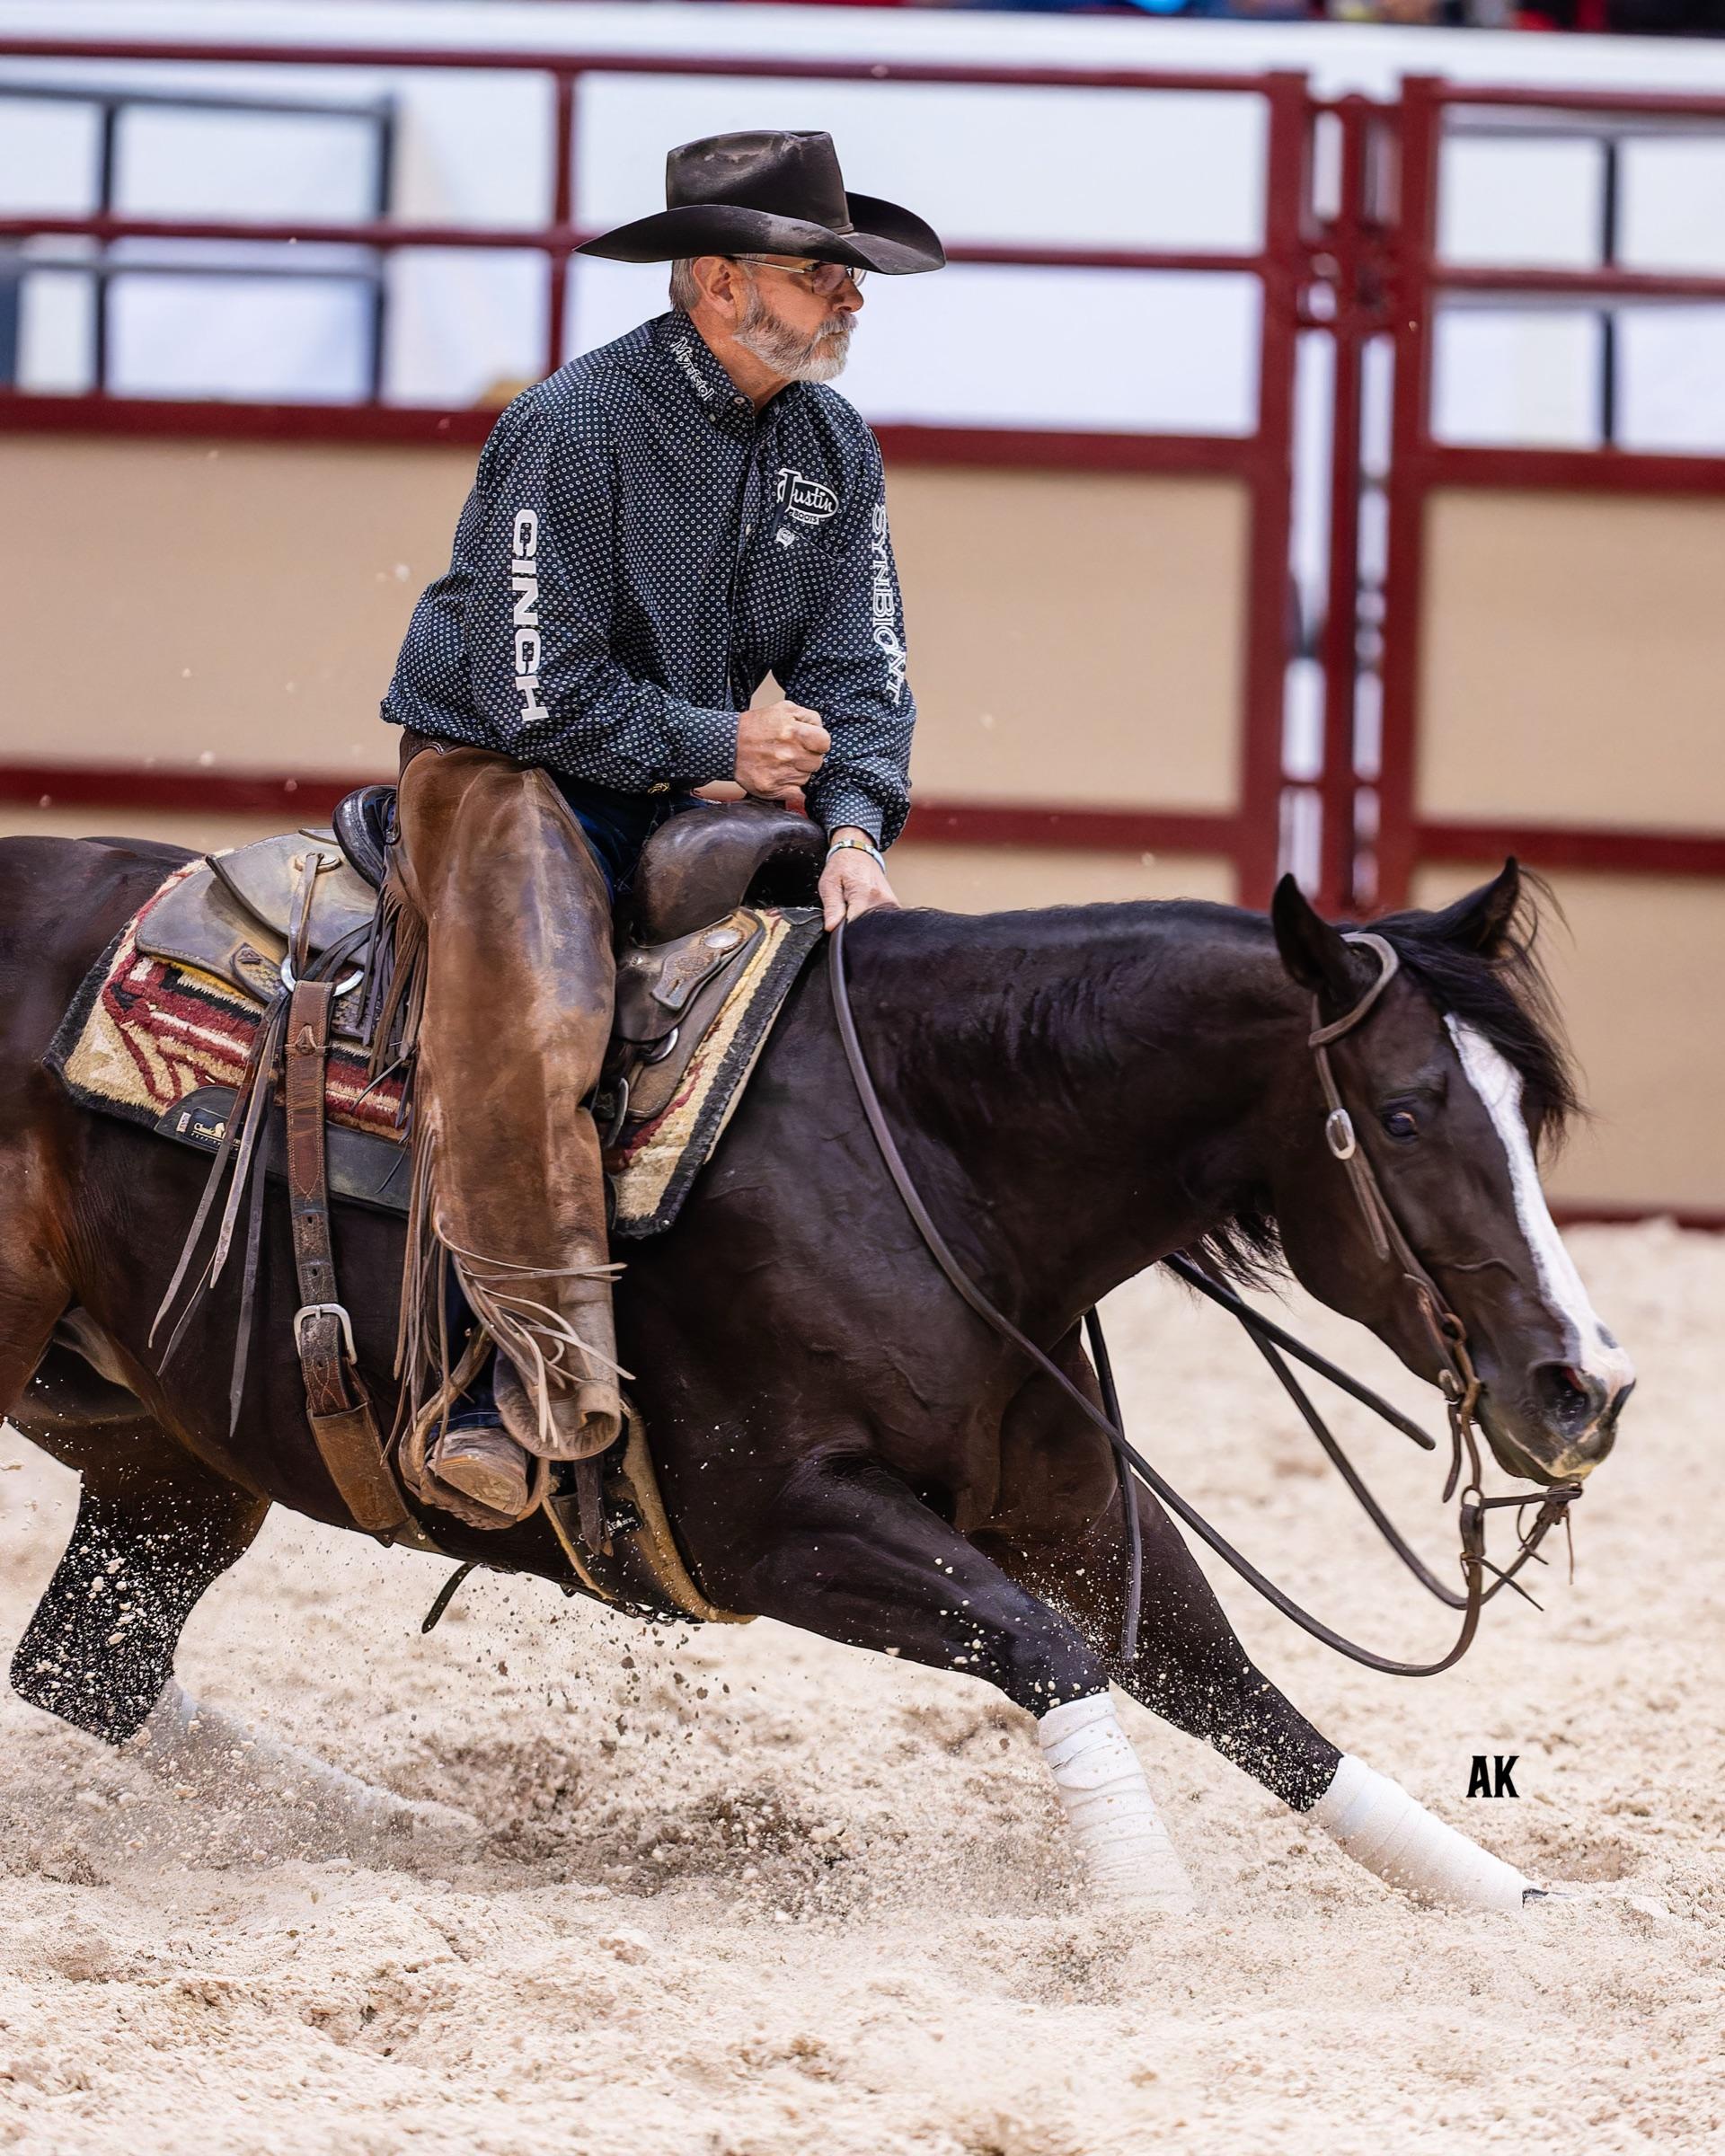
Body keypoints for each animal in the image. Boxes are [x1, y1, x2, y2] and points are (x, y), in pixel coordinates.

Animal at [0, 834, 1635, 1911]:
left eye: (1531, 1112)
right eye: (1408, 1113)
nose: (1585, 1386)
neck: (919, 1147)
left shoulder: (1069, 1508)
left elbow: (1250, 1702)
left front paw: (1525, 1908)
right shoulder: (769, 1528)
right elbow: (1048, 1650)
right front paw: (1151, 1921)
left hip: (163, 1452)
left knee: (86, 1666)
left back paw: (405, 1831)